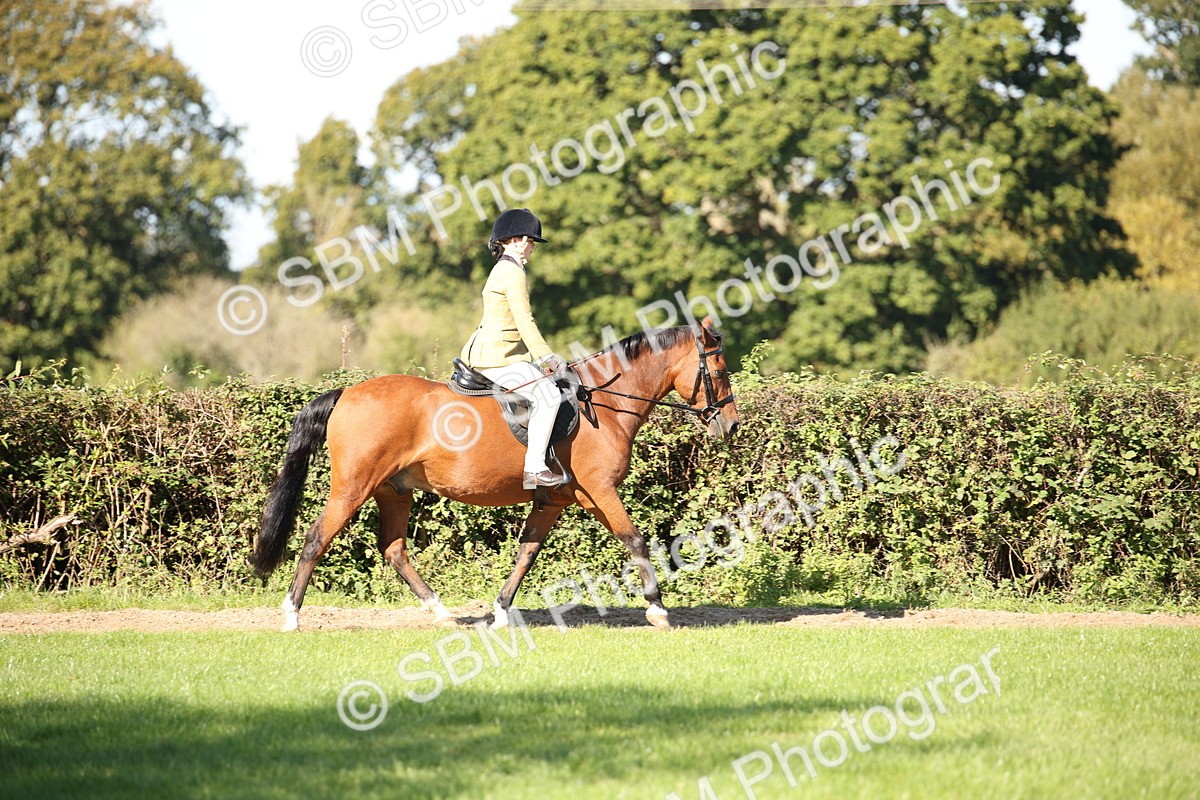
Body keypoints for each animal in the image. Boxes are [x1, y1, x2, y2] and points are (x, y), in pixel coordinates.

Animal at [249, 315, 740, 631]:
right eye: (718, 370)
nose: (732, 426)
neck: (606, 403)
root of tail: (347, 392)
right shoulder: (599, 491)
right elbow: (635, 540)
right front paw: (658, 610)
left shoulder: (554, 500)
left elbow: (526, 553)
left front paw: (502, 610)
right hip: (352, 488)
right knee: (316, 538)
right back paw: (291, 616)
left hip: (394, 490)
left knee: (394, 550)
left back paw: (441, 612)